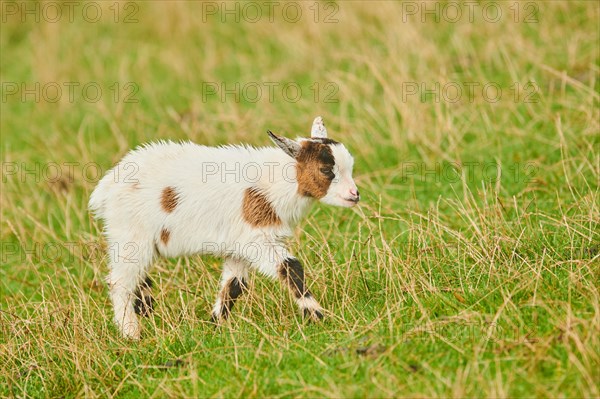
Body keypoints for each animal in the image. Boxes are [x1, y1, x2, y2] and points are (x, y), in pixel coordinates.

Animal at [88, 117, 358, 340]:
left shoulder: (238, 247)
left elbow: (234, 286)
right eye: (326, 170)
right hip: (132, 236)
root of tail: (105, 189)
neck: (274, 184)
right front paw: (316, 314)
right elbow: (290, 267)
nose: (354, 195)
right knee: (120, 282)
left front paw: (215, 324)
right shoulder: (256, 239)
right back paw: (131, 333)